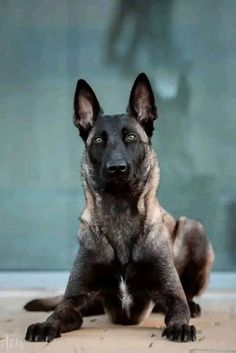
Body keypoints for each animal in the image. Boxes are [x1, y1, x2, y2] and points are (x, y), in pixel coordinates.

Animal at [24, 72, 214, 340]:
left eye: (131, 137)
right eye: (99, 140)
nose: (117, 168)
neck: (120, 210)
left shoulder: (172, 296)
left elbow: (179, 307)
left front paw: (180, 326)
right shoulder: (73, 301)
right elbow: (58, 312)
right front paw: (45, 325)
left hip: (193, 227)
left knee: (188, 294)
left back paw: (194, 305)